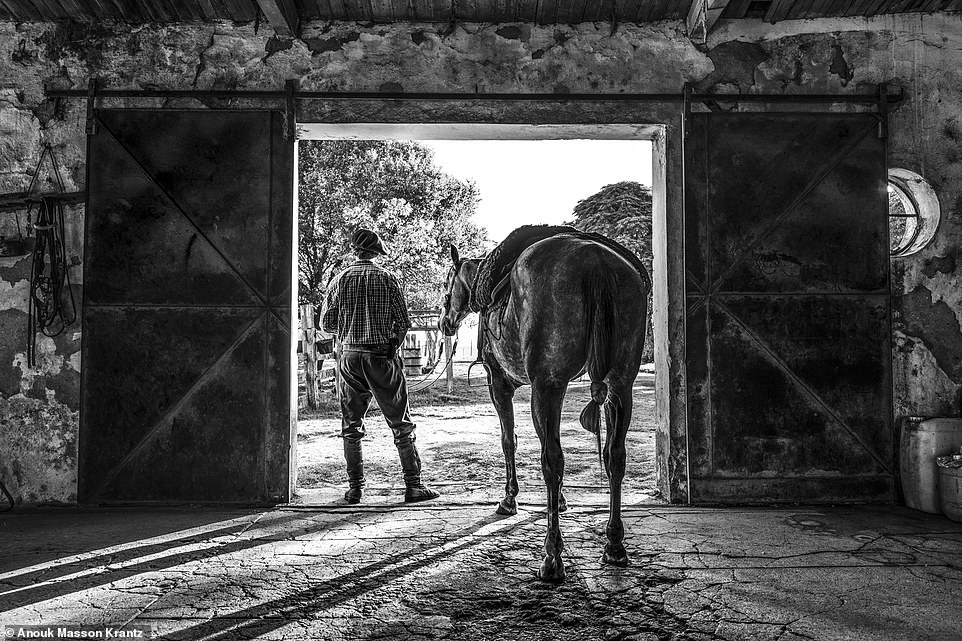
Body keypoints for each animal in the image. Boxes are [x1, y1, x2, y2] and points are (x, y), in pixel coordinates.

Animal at [438, 228, 648, 584]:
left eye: (447, 284)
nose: (445, 323)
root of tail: (597, 262)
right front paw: (560, 501)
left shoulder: (500, 383)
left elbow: (509, 441)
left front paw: (510, 499)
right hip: (619, 385)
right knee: (614, 457)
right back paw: (614, 544)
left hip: (547, 386)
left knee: (552, 461)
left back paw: (552, 557)